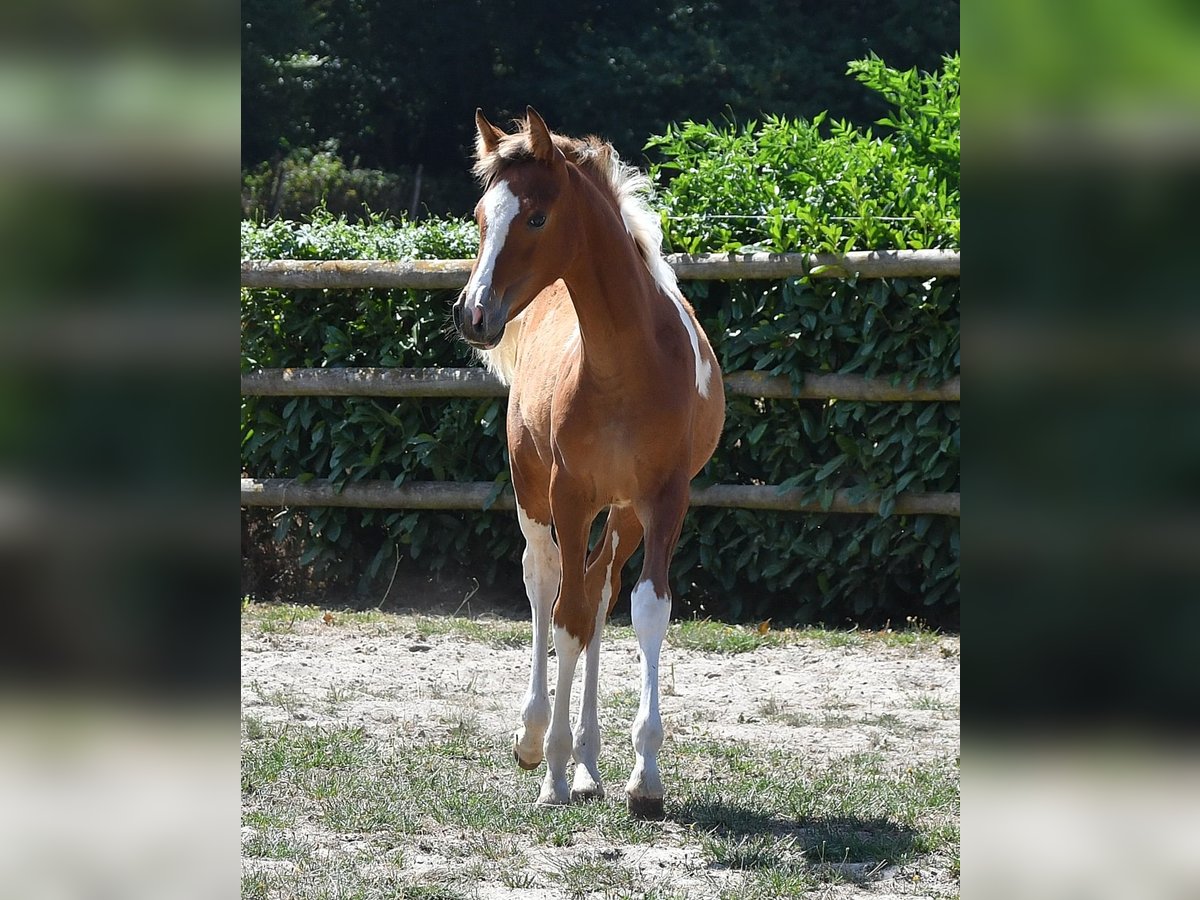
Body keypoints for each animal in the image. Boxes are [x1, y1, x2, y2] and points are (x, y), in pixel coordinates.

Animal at [451, 107, 724, 818]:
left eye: (537, 217)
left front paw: (643, 776)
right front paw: (549, 769)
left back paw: (589, 765)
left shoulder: (664, 500)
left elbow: (645, 610)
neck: (626, 363)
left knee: (600, 591)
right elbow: (565, 618)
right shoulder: (569, 497)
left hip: (621, 513)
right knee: (545, 582)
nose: (473, 313)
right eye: (481, 215)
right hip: (533, 493)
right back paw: (536, 739)